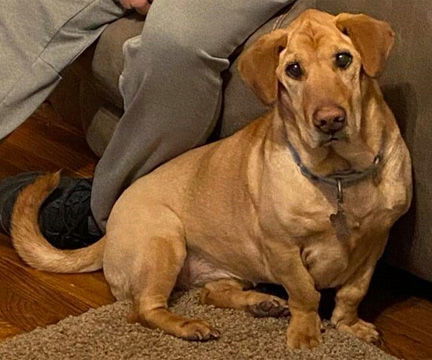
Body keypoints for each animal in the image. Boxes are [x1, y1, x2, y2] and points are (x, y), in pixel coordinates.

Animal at [11, 9, 414, 350]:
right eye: (294, 70)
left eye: (343, 59)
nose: (329, 120)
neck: (340, 176)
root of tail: (109, 230)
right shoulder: (283, 248)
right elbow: (305, 293)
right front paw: (305, 334)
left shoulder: (376, 242)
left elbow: (352, 292)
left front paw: (350, 327)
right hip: (165, 239)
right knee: (144, 309)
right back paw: (191, 325)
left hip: (227, 265)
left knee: (209, 294)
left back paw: (260, 303)